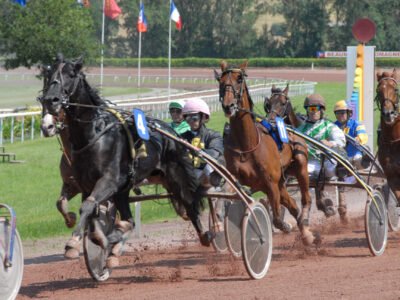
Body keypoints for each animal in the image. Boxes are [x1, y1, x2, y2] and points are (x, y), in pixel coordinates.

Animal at [41, 55, 212, 266]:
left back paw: (205, 235)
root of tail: (171, 132)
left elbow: (88, 206)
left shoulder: (108, 180)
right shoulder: (85, 184)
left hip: (175, 177)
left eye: (71, 74)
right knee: (129, 220)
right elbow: (82, 209)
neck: (94, 134)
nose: (51, 100)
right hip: (124, 189)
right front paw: (96, 238)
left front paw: (73, 242)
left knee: (189, 203)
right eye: (49, 74)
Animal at [214, 61, 318, 246]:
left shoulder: (270, 182)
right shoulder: (238, 178)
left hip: (299, 166)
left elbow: (277, 219)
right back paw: (305, 232)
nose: (228, 105)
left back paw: (305, 227)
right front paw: (218, 220)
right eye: (221, 80)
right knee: (292, 205)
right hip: (280, 181)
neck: (247, 145)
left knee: (305, 199)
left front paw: (284, 226)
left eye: (239, 79)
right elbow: (223, 194)